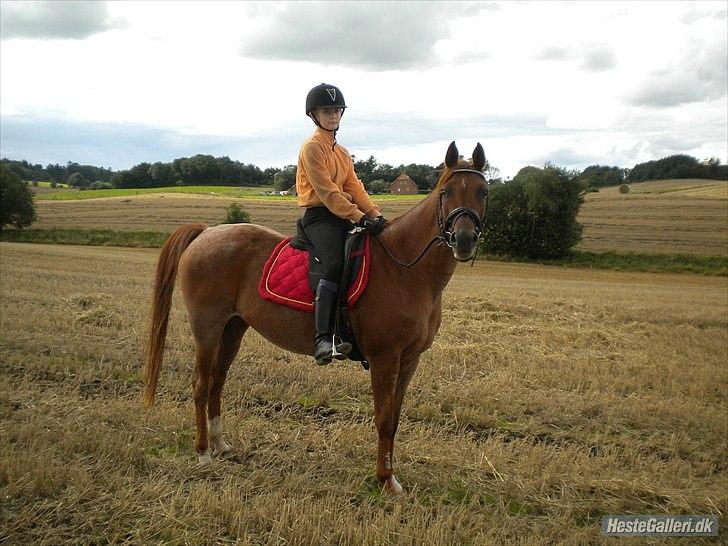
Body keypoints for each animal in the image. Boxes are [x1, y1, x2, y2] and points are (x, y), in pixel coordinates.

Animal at [144, 140, 490, 492]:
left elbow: (394, 419)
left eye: (483, 191)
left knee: (217, 381)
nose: (463, 239)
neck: (403, 268)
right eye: (445, 192)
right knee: (201, 384)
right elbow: (382, 419)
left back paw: (221, 445)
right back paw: (203, 453)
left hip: (232, 328)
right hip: (207, 328)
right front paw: (384, 480)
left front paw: (391, 477)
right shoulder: (384, 358)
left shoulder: (409, 360)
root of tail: (206, 233)